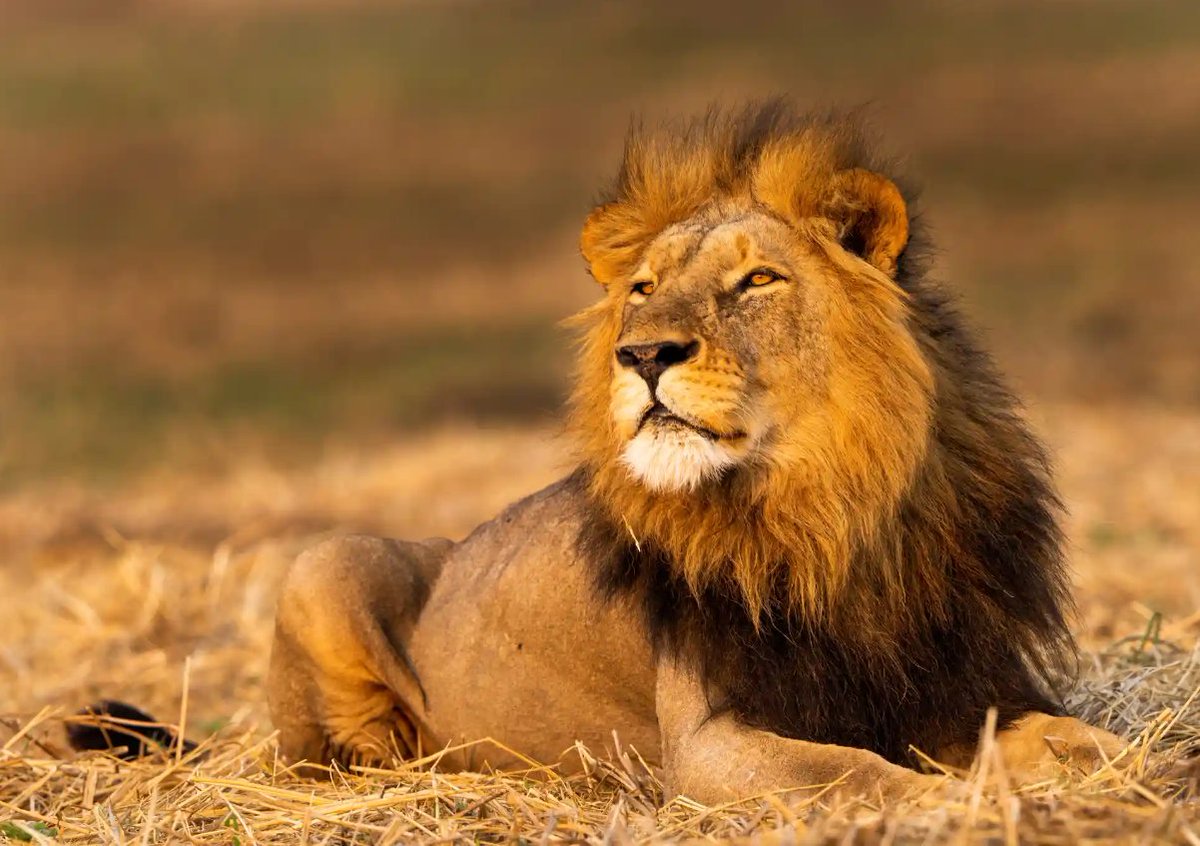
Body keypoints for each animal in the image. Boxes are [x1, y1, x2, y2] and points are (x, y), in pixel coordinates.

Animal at [263, 101, 1124, 803]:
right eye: (642, 289)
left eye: (758, 280)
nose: (643, 354)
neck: (834, 507)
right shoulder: (707, 741)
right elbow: (852, 772)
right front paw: (947, 802)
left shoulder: (960, 690)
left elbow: (1074, 738)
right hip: (326, 563)